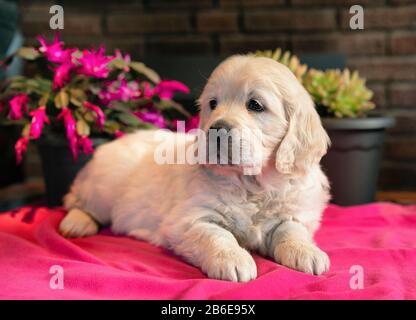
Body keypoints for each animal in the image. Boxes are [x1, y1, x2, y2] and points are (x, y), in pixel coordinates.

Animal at [58, 55, 332, 282]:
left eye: (255, 105)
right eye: (213, 103)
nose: (216, 129)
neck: (250, 184)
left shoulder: (293, 212)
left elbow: (291, 230)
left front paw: (307, 251)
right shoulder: (190, 220)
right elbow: (216, 236)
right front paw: (233, 259)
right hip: (102, 188)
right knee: (76, 202)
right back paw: (77, 223)